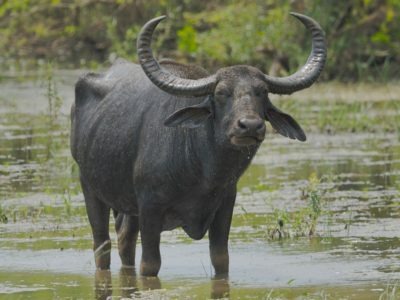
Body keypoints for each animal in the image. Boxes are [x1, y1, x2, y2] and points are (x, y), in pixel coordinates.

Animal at [70, 13, 326, 276]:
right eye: (221, 93)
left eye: (262, 92)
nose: (250, 126)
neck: (204, 172)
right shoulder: (150, 207)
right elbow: (150, 264)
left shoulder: (225, 204)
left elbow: (220, 259)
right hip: (89, 186)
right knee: (102, 245)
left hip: (127, 207)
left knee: (124, 239)